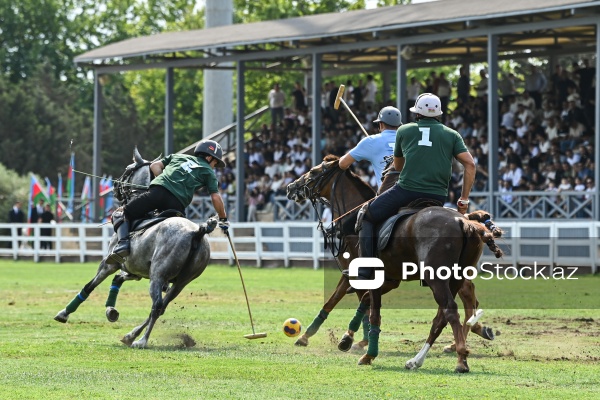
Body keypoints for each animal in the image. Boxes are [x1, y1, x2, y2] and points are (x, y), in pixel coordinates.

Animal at [54, 148, 218, 348]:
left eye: (127, 169)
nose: (115, 186)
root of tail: (198, 232)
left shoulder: (109, 263)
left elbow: (90, 285)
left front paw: (64, 313)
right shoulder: (135, 270)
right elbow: (118, 279)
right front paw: (111, 311)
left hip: (157, 275)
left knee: (156, 306)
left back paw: (141, 340)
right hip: (181, 282)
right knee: (162, 306)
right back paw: (131, 335)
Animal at [286, 155, 502, 372]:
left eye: (313, 171)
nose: (290, 187)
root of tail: (463, 221)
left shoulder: (360, 275)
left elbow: (352, 305)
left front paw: (361, 349)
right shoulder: (389, 279)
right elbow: (363, 302)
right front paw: (349, 339)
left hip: (437, 277)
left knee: (452, 308)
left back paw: (461, 357)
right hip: (456, 276)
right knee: (449, 311)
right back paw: (425, 356)